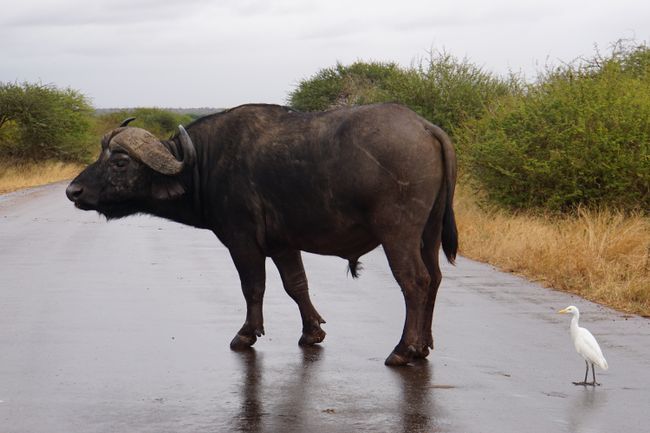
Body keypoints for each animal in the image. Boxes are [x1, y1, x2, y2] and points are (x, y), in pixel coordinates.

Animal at [67, 104, 456, 364]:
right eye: (101, 155)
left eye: (120, 162)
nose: (73, 191)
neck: (204, 163)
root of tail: (425, 127)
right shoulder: (284, 244)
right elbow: (296, 285)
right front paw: (311, 332)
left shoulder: (242, 242)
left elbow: (253, 287)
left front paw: (245, 333)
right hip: (429, 234)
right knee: (435, 278)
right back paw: (424, 345)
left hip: (398, 235)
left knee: (415, 282)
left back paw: (404, 349)